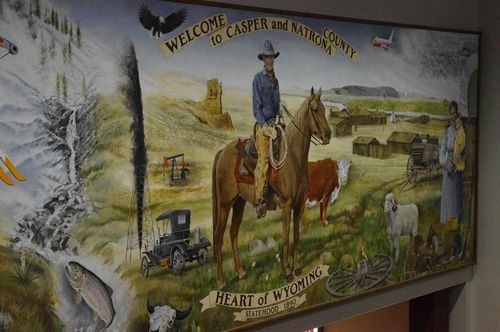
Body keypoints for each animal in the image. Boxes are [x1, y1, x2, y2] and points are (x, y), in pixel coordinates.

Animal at [212, 87, 332, 290]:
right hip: (225, 204)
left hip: (239, 203)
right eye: (315, 109)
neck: (293, 158)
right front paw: (287, 272)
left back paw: (241, 273)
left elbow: (296, 235)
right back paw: (221, 282)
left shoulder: (299, 205)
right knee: (219, 237)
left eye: (324, 109)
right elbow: (285, 236)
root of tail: (222, 152)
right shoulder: (287, 205)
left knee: (233, 233)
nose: (328, 135)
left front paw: (297, 268)